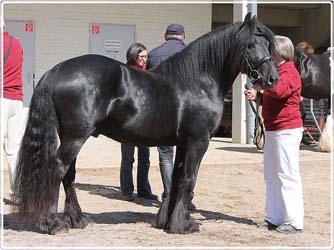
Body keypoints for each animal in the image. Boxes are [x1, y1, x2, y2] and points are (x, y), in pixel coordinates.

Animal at [13, 13, 280, 234]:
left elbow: (176, 177)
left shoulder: (183, 143)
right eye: (250, 44)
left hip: (71, 135)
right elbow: (189, 178)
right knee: (58, 169)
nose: (271, 79)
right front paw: (185, 225)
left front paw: (167, 221)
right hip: (76, 136)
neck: (199, 81)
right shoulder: (198, 141)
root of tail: (56, 70)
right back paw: (53, 224)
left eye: (268, 44)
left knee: (69, 174)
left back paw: (78, 220)